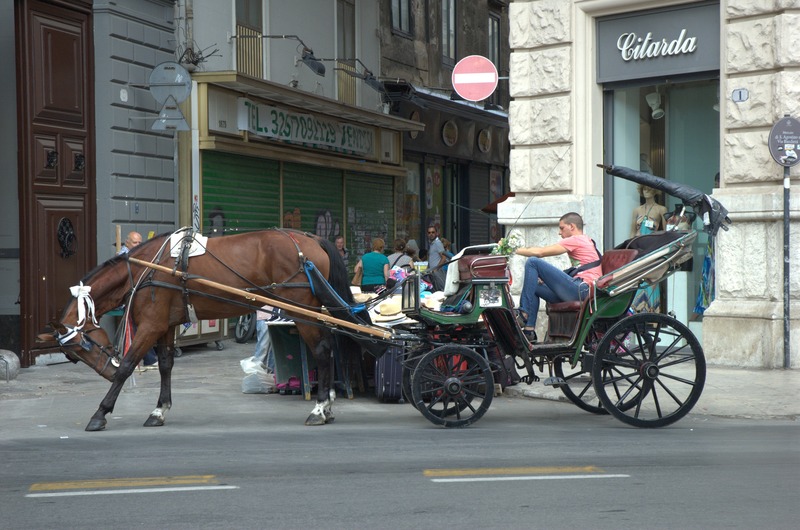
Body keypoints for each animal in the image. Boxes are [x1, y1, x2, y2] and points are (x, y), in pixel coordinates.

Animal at [40, 227, 372, 428]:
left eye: (81, 347)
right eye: (73, 355)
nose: (105, 372)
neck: (146, 268)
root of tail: (310, 239)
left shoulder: (150, 325)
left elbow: (129, 365)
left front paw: (101, 412)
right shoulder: (165, 325)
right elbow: (165, 365)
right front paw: (159, 409)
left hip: (302, 309)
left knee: (322, 350)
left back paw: (319, 408)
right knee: (329, 347)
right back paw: (326, 405)